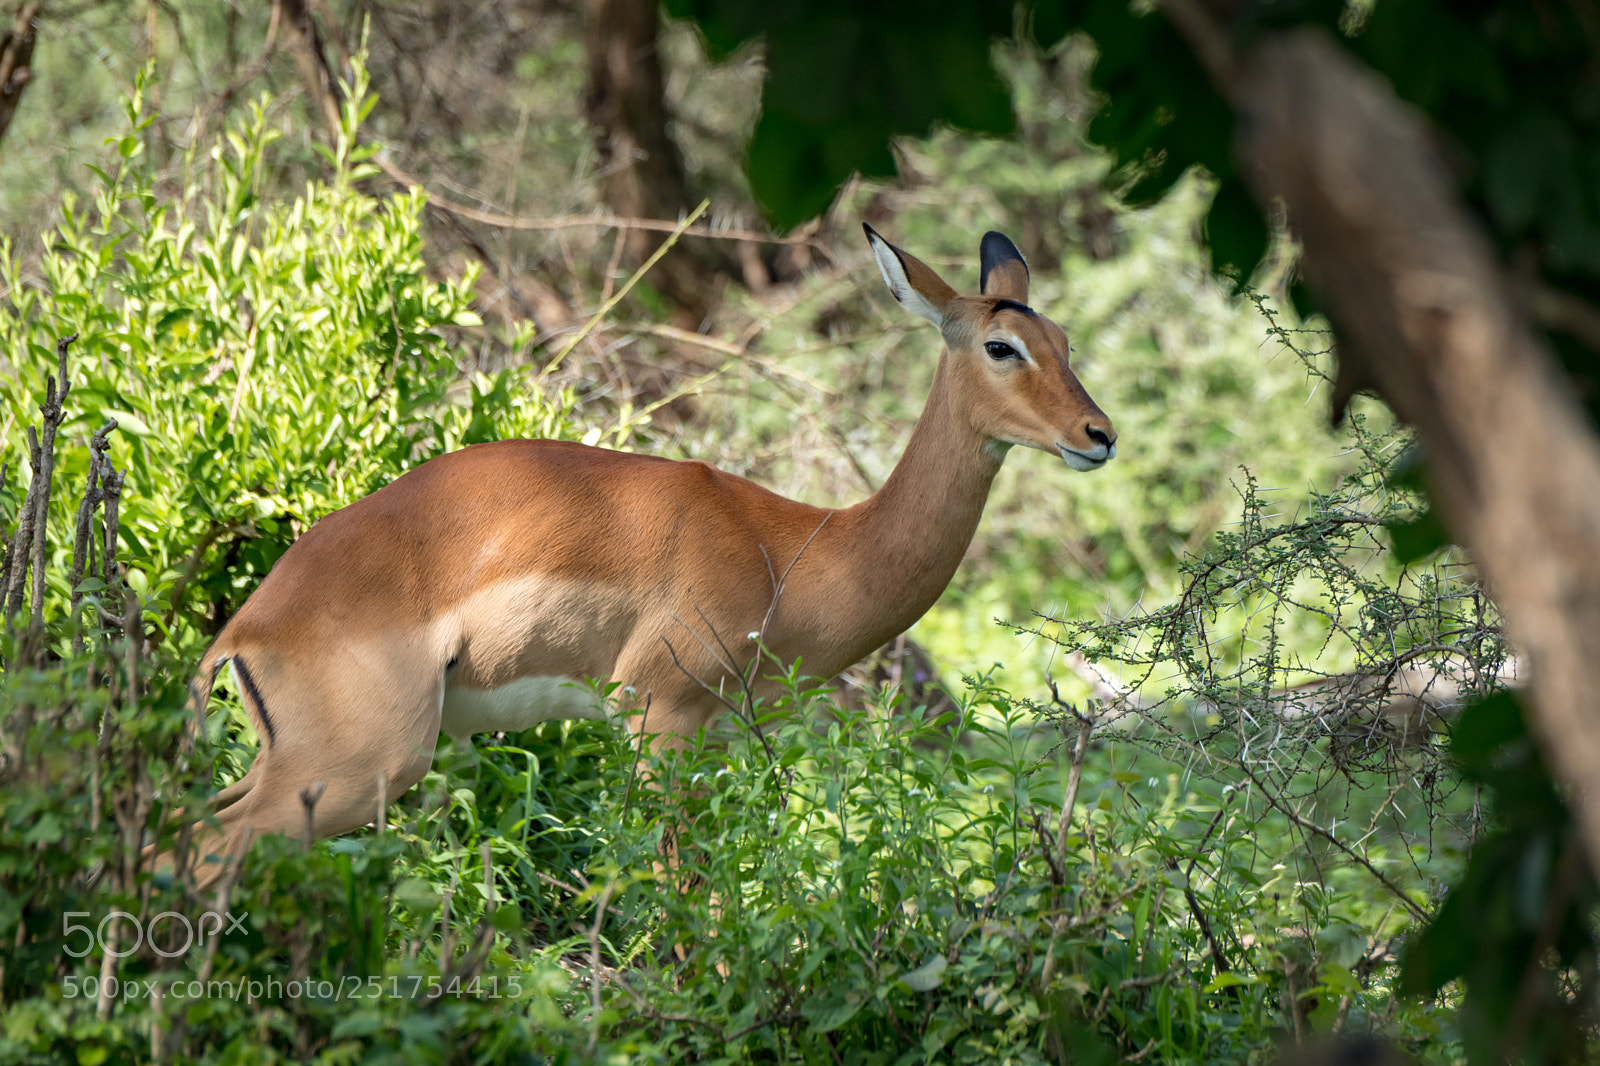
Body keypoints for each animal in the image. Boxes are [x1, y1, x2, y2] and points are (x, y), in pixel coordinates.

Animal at [177, 226, 1116, 885]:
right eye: (1001, 346)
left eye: (1067, 341)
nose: (1098, 435)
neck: (791, 551)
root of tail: (246, 628)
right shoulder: (662, 719)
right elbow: (677, 886)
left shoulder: (722, 735)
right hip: (359, 768)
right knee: (199, 853)